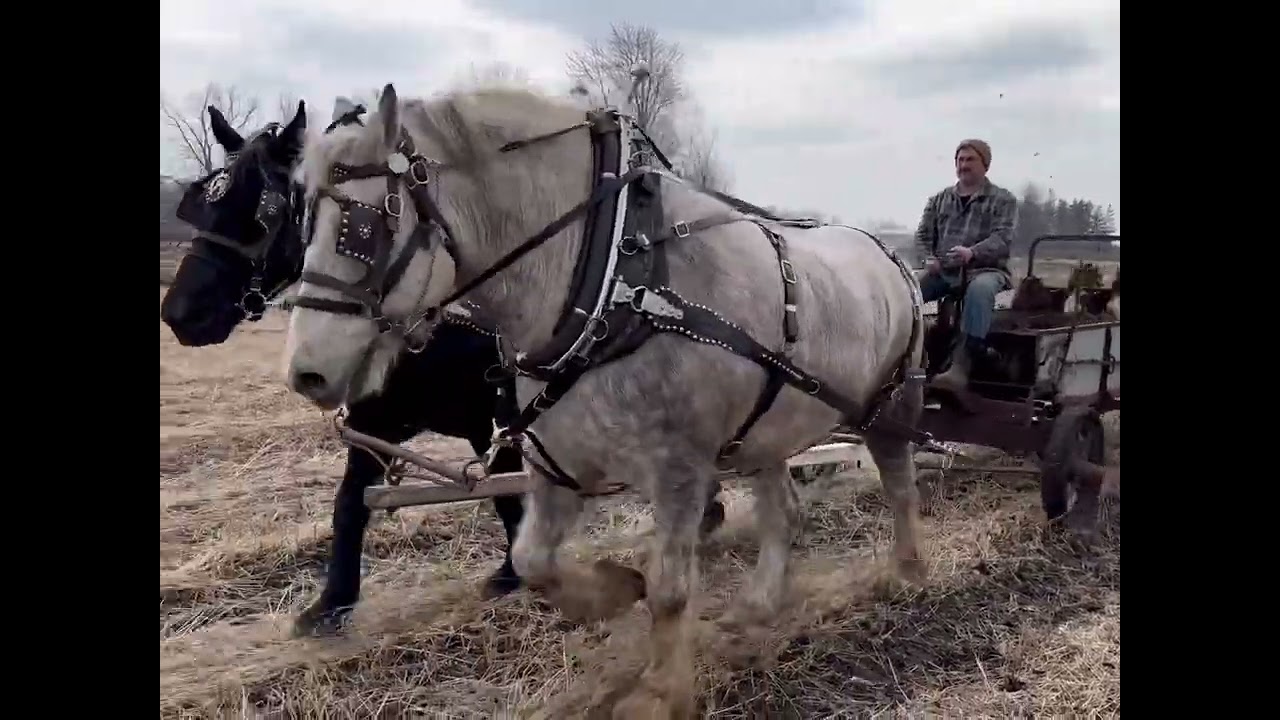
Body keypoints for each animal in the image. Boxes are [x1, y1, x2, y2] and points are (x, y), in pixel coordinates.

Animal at [282, 83, 929, 716]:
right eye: (301, 221)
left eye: (364, 228)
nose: (306, 373)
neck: (616, 282)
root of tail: (888, 251)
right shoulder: (555, 462)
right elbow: (533, 561)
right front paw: (617, 589)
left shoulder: (679, 469)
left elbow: (669, 588)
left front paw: (661, 693)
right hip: (760, 433)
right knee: (784, 514)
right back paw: (760, 606)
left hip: (890, 406)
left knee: (899, 482)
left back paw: (906, 573)